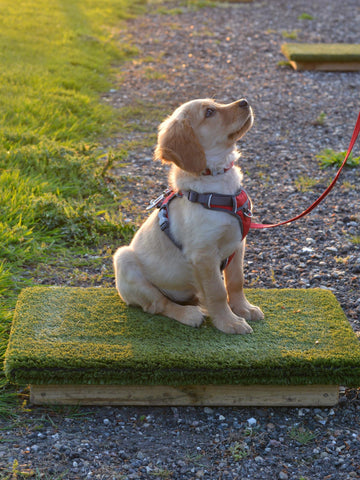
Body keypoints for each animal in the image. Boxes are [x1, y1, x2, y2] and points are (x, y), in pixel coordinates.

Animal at [114, 96, 264, 330]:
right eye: (210, 112)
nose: (245, 101)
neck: (215, 182)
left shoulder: (238, 243)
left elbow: (236, 281)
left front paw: (243, 309)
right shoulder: (203, 254)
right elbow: (217, 291)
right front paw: (228, 323)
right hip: (124, 259)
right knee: (158, 304)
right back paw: (189, 314)